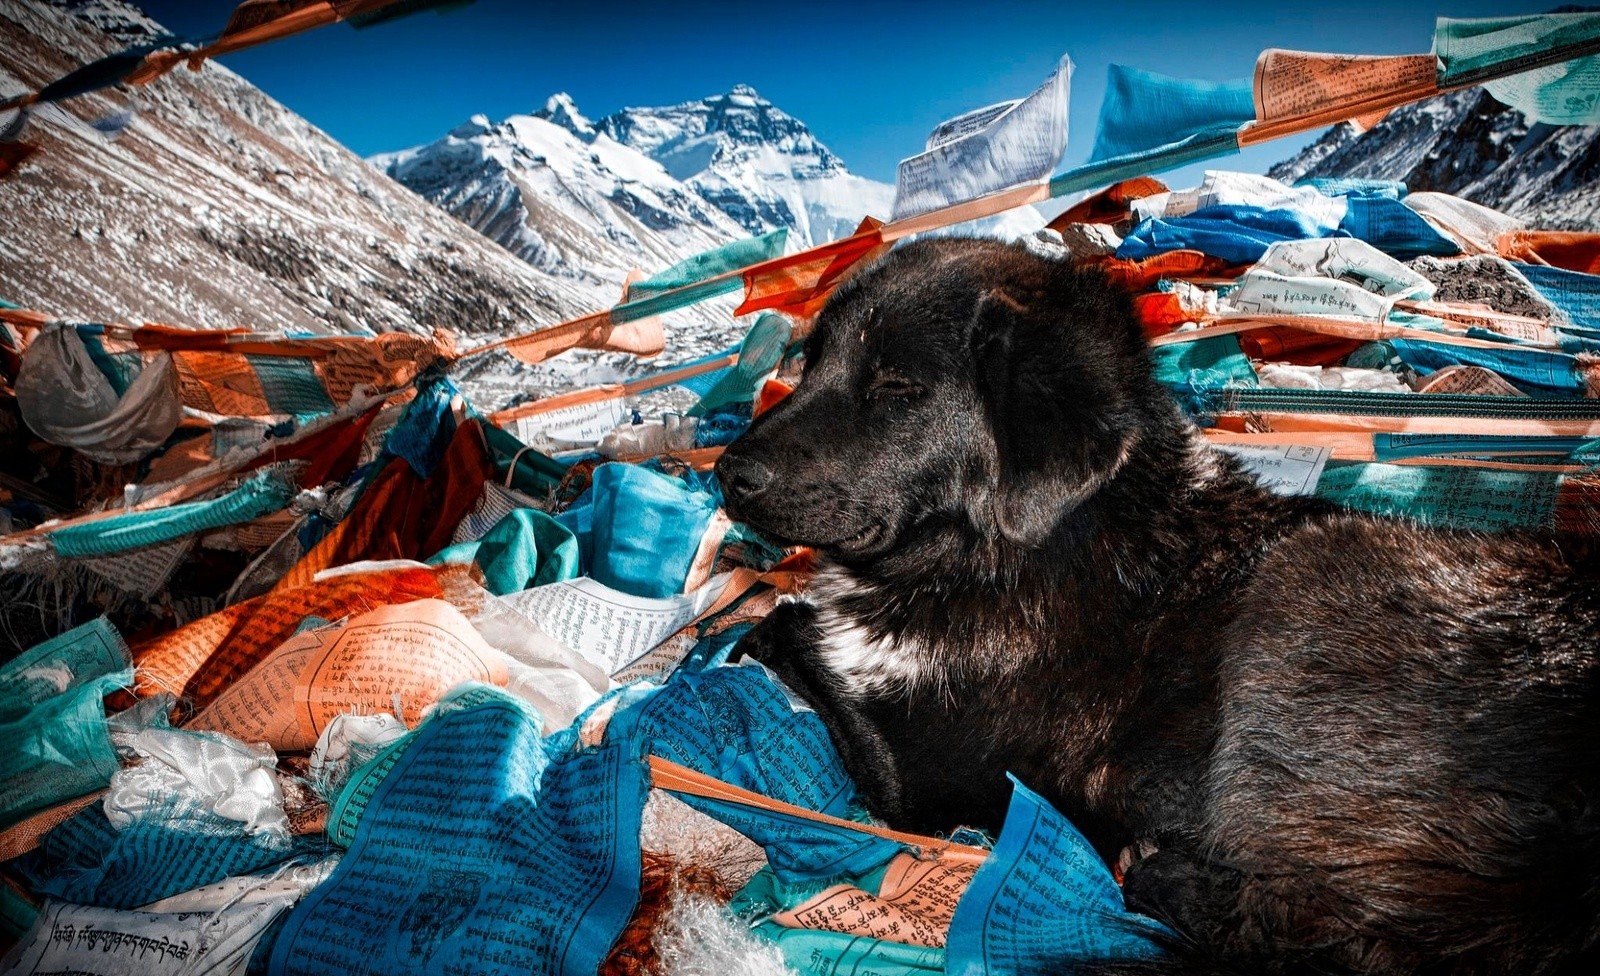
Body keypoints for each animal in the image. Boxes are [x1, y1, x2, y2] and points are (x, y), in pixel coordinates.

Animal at [720, 236, 1600, 972]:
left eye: (896, 387)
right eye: (809, 362)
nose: (727, 473)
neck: (1030, 544)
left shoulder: (951, 784)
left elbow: (799, 643)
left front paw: (766, 630)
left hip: (1313, 568)